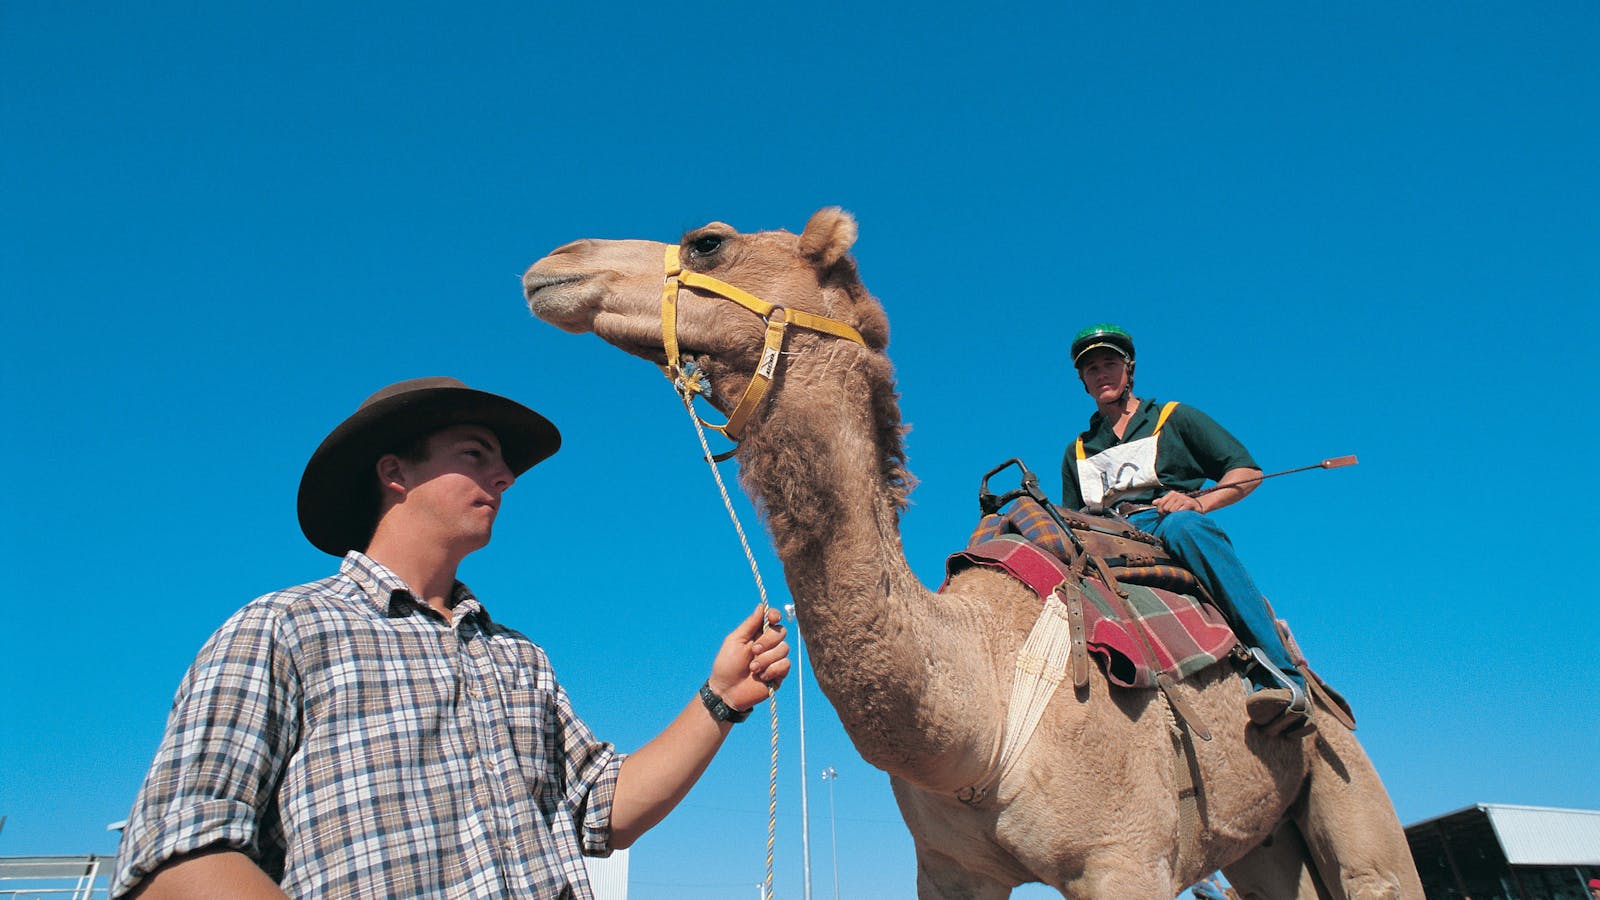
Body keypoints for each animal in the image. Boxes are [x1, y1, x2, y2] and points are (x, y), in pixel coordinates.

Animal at [522, 209, 1423, 899]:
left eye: (708, 241)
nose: (553, 262)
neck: (978, 699)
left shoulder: (1125, 858)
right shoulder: (952, 871)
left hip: (1346, 777)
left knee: (1374, 867)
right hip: (1264, 840)